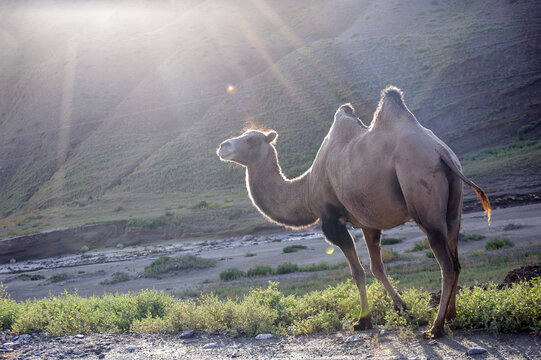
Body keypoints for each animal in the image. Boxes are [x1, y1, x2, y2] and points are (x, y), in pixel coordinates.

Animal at [215, 86, 490, 338]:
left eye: (251, 140)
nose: (223, 146)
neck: (307, 189)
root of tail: (441, 152)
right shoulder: (368, 221)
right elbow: (376, 267)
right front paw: (402, 307)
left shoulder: (332, 220)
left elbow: (357, 271)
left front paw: (363, 320)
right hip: (454, 204)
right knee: (456, 258)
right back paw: (452, 315)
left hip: (422, 195)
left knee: (446, 264)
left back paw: (436, 326)